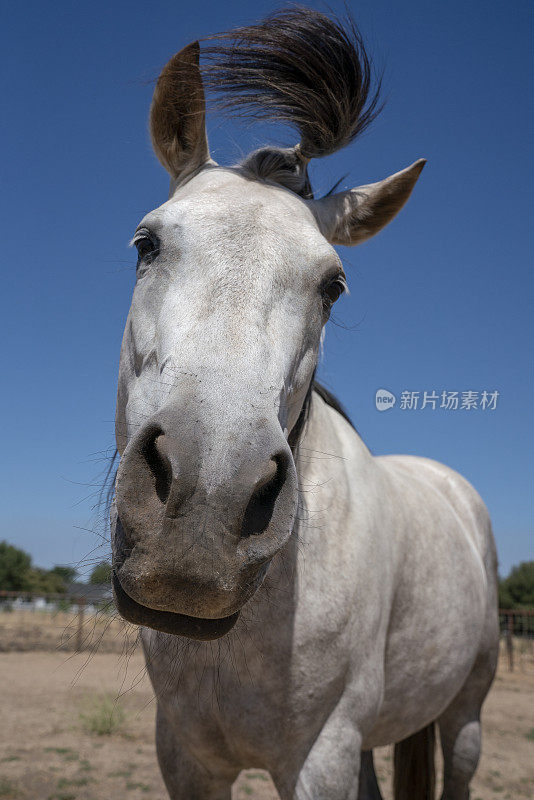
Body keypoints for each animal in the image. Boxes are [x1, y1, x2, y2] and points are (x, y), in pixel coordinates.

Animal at [111, 7, 500, 800]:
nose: (204, 510)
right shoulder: (184, 756)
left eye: (334, 286)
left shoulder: (321, 755)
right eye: (146, 244)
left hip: (465, 716)